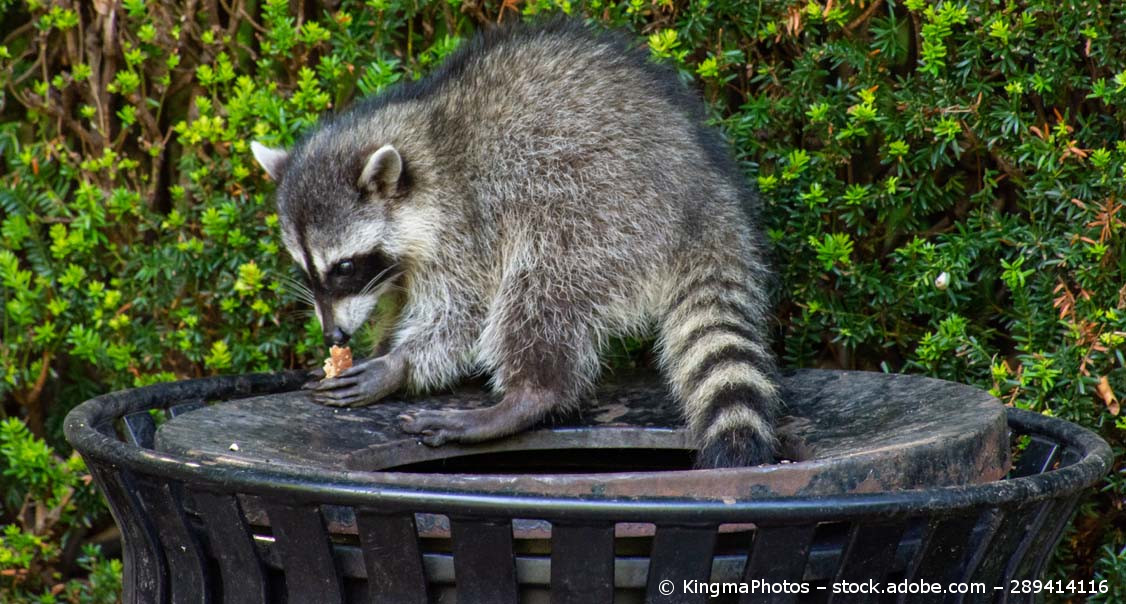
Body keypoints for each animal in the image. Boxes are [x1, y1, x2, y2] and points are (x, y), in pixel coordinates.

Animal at [253, 17, 783, 462]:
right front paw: (380, 346)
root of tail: (705, 194)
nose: (333, 336)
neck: (423, 142)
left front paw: (398, 364)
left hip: (603, 210)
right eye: (305, 269)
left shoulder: (466, 224)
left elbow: (463, 313)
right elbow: (401, 303)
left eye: (343, 267)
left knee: (541, 288)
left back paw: (528, 395)